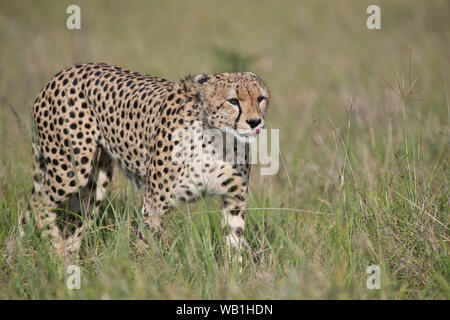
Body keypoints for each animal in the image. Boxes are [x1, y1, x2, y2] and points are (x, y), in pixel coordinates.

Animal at [30, 62, 268, 260]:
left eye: (260, 99)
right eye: (233, 101)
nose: (255, 121)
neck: (217, 138)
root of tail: (65, 71)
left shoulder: (234, 200)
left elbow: (235, 242)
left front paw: (234, 277)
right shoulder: (154, 204)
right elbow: (146, 245)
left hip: (95, 184)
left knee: (75, 220)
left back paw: (69, 259)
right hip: (71, 171)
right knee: (38, 202)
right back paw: (56, 250)